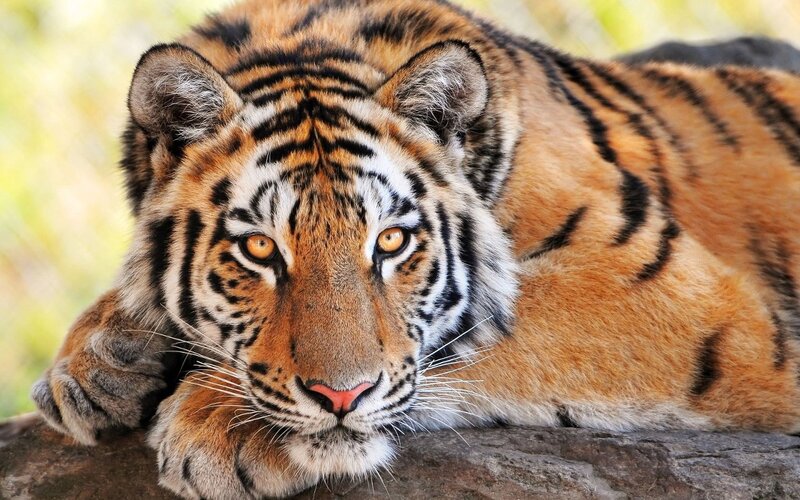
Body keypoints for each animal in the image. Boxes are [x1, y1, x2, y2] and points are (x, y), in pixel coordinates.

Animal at [30, 0, 800, 497]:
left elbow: (477, 336)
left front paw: (218, 425)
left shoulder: (682, 296)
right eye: (258, 249)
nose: (341, 397)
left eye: (392, 241)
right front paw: (96, 362)